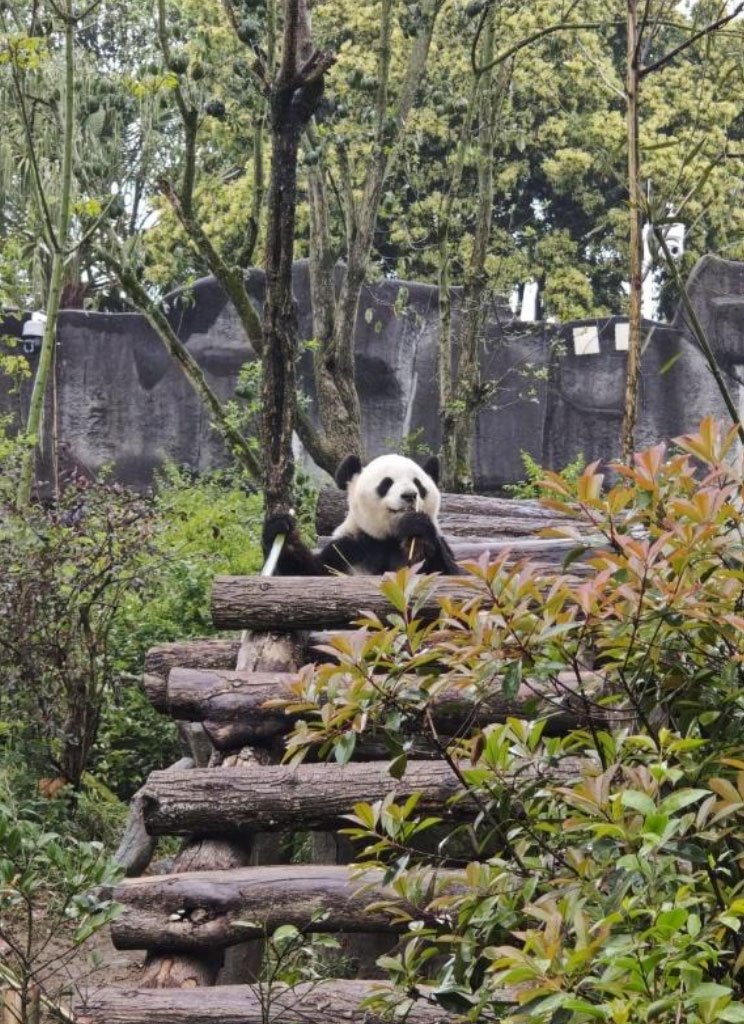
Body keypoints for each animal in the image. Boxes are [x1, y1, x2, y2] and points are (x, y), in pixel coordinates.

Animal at [262, 453, 460, 576]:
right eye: (386, 483)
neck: (388, 538)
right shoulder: (349, 548)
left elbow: (449, 575)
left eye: (418, 484)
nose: (410, 495)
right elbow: (308, 573)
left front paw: (417, 532)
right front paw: (280, 529)